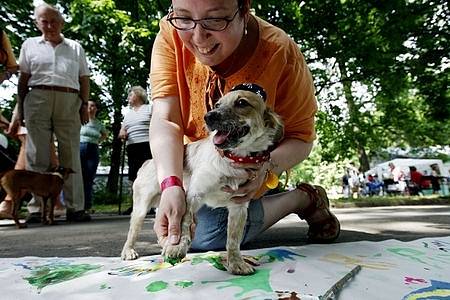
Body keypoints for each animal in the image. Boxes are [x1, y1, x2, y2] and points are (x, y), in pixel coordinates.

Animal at [121, 84, 284, 274]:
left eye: (242, 103)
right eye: (217, 104)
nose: (209, 116)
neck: (232, 159)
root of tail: (148, 161)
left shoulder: (239, 208)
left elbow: (233, 240)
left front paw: (236, 262)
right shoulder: (192, 196)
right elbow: (184, 223)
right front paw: (177, 247)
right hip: (141, 208)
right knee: (132, 231)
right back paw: (129, 251)